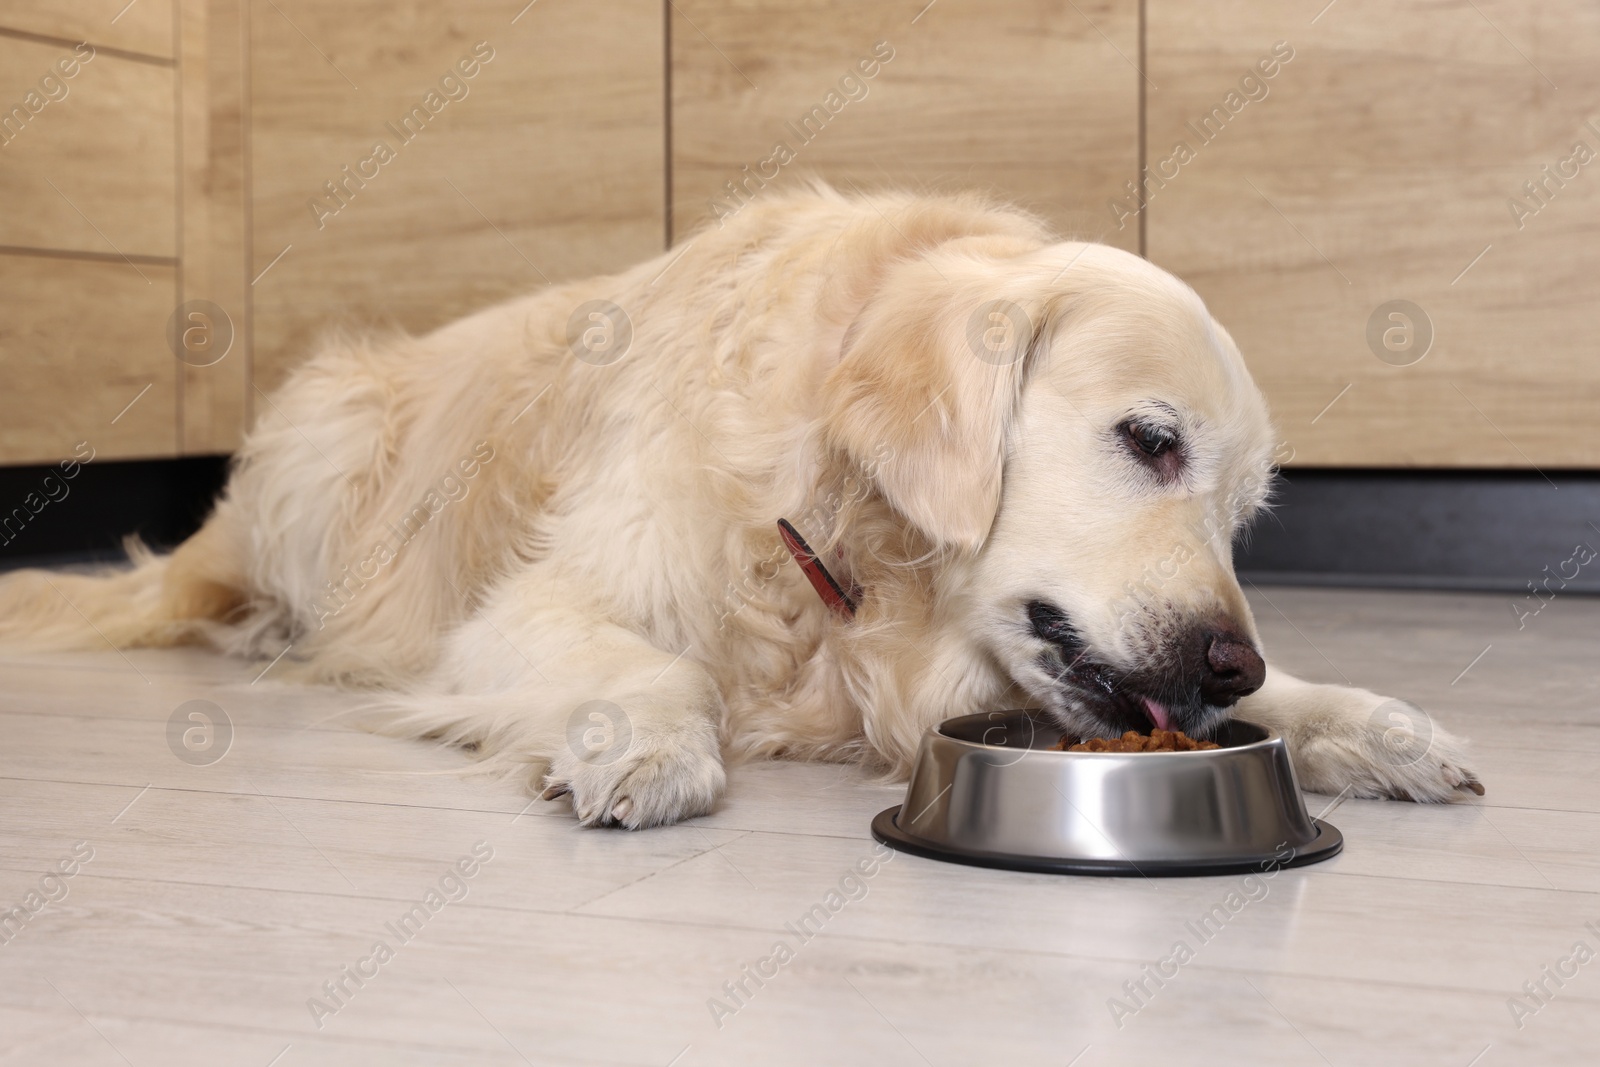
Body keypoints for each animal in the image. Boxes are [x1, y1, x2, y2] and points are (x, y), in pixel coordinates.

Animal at [0, 187, 1478, 831]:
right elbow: (653, 665)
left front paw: (1369, 721)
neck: (837, 554)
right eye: (1150, 440)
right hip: (328, 436)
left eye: (1249, 508)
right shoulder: (535, 604)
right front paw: (646, 744)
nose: (1230, 658)